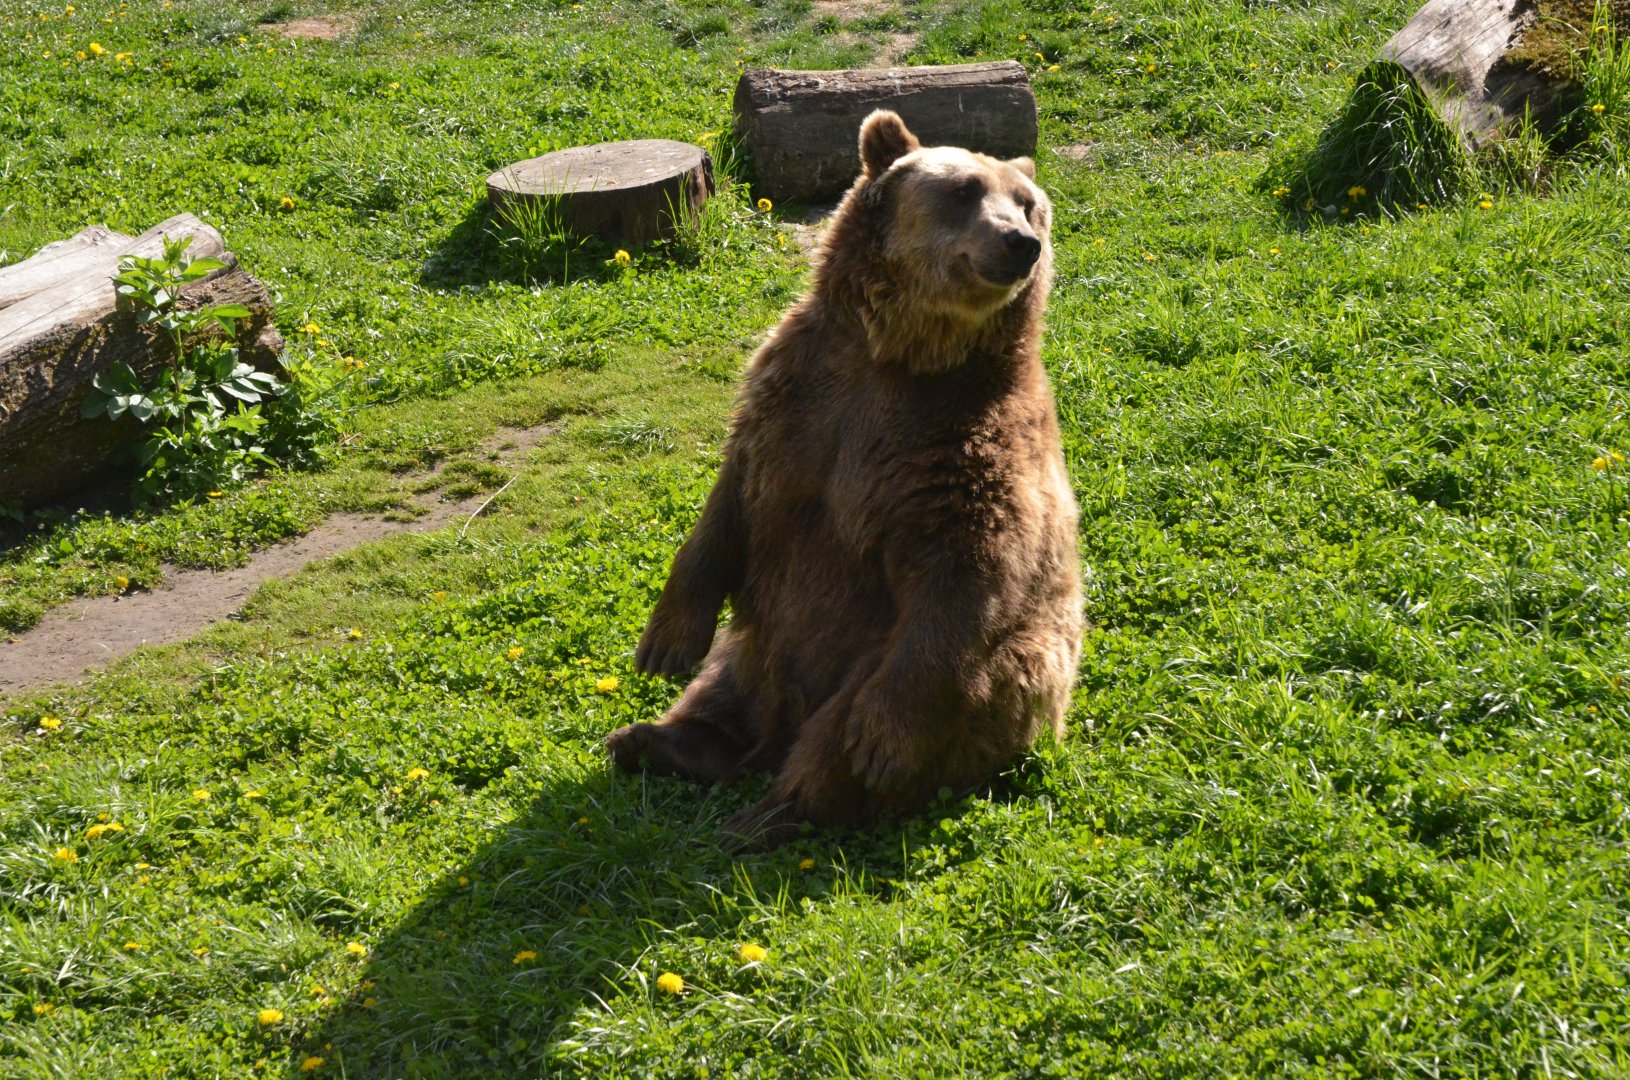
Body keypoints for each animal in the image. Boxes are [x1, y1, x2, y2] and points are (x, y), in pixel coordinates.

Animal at [606, 110, 1082, 848]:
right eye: (966, 190)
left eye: (1029, 204)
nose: (1021, 242)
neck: (899, 355)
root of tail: (782, 724)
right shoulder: (799, 396)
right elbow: (729, 502)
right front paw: (664, 642)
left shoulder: (966, 443)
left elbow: (971, 566)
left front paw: (881, 744)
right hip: (757, 639)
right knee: (724, 684)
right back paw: (659, 740)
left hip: (939, 667)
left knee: (848, 731)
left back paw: (773, 809)